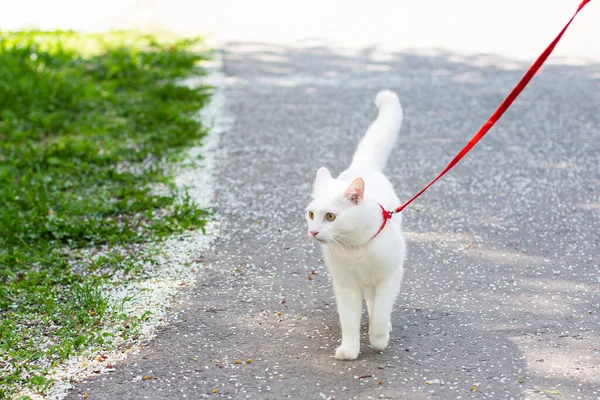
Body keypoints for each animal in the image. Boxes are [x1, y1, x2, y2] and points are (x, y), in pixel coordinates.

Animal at [304, 90, 408, 360]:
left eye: (330, 217)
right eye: (311, 214)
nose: (313, 231)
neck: (356, 247)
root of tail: (363, 167)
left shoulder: (389, 277)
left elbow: (381, 311)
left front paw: (378, 339)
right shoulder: (345, 285)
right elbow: (349, 320)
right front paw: (350, 349)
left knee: (376, 303)